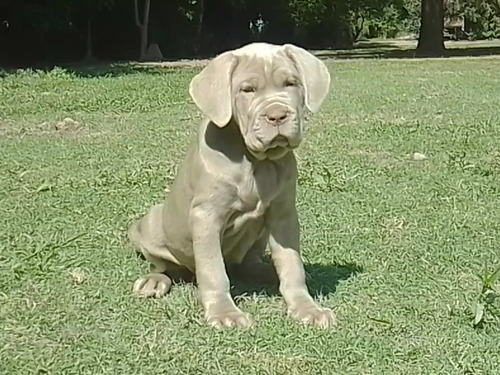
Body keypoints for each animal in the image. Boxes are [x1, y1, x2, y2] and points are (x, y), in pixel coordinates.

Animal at [128, 41, 336, 328]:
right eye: (247, 90)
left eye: (290, 83)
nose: (277, 116)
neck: (255, 161)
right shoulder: (206, 216)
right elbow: (214, 270)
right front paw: (224, 313)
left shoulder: (283, 215)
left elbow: (292, 264)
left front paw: (307, 307)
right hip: (151, 226)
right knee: (162, 265)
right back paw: (154, 281)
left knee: (249, 261)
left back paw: (266, 270)